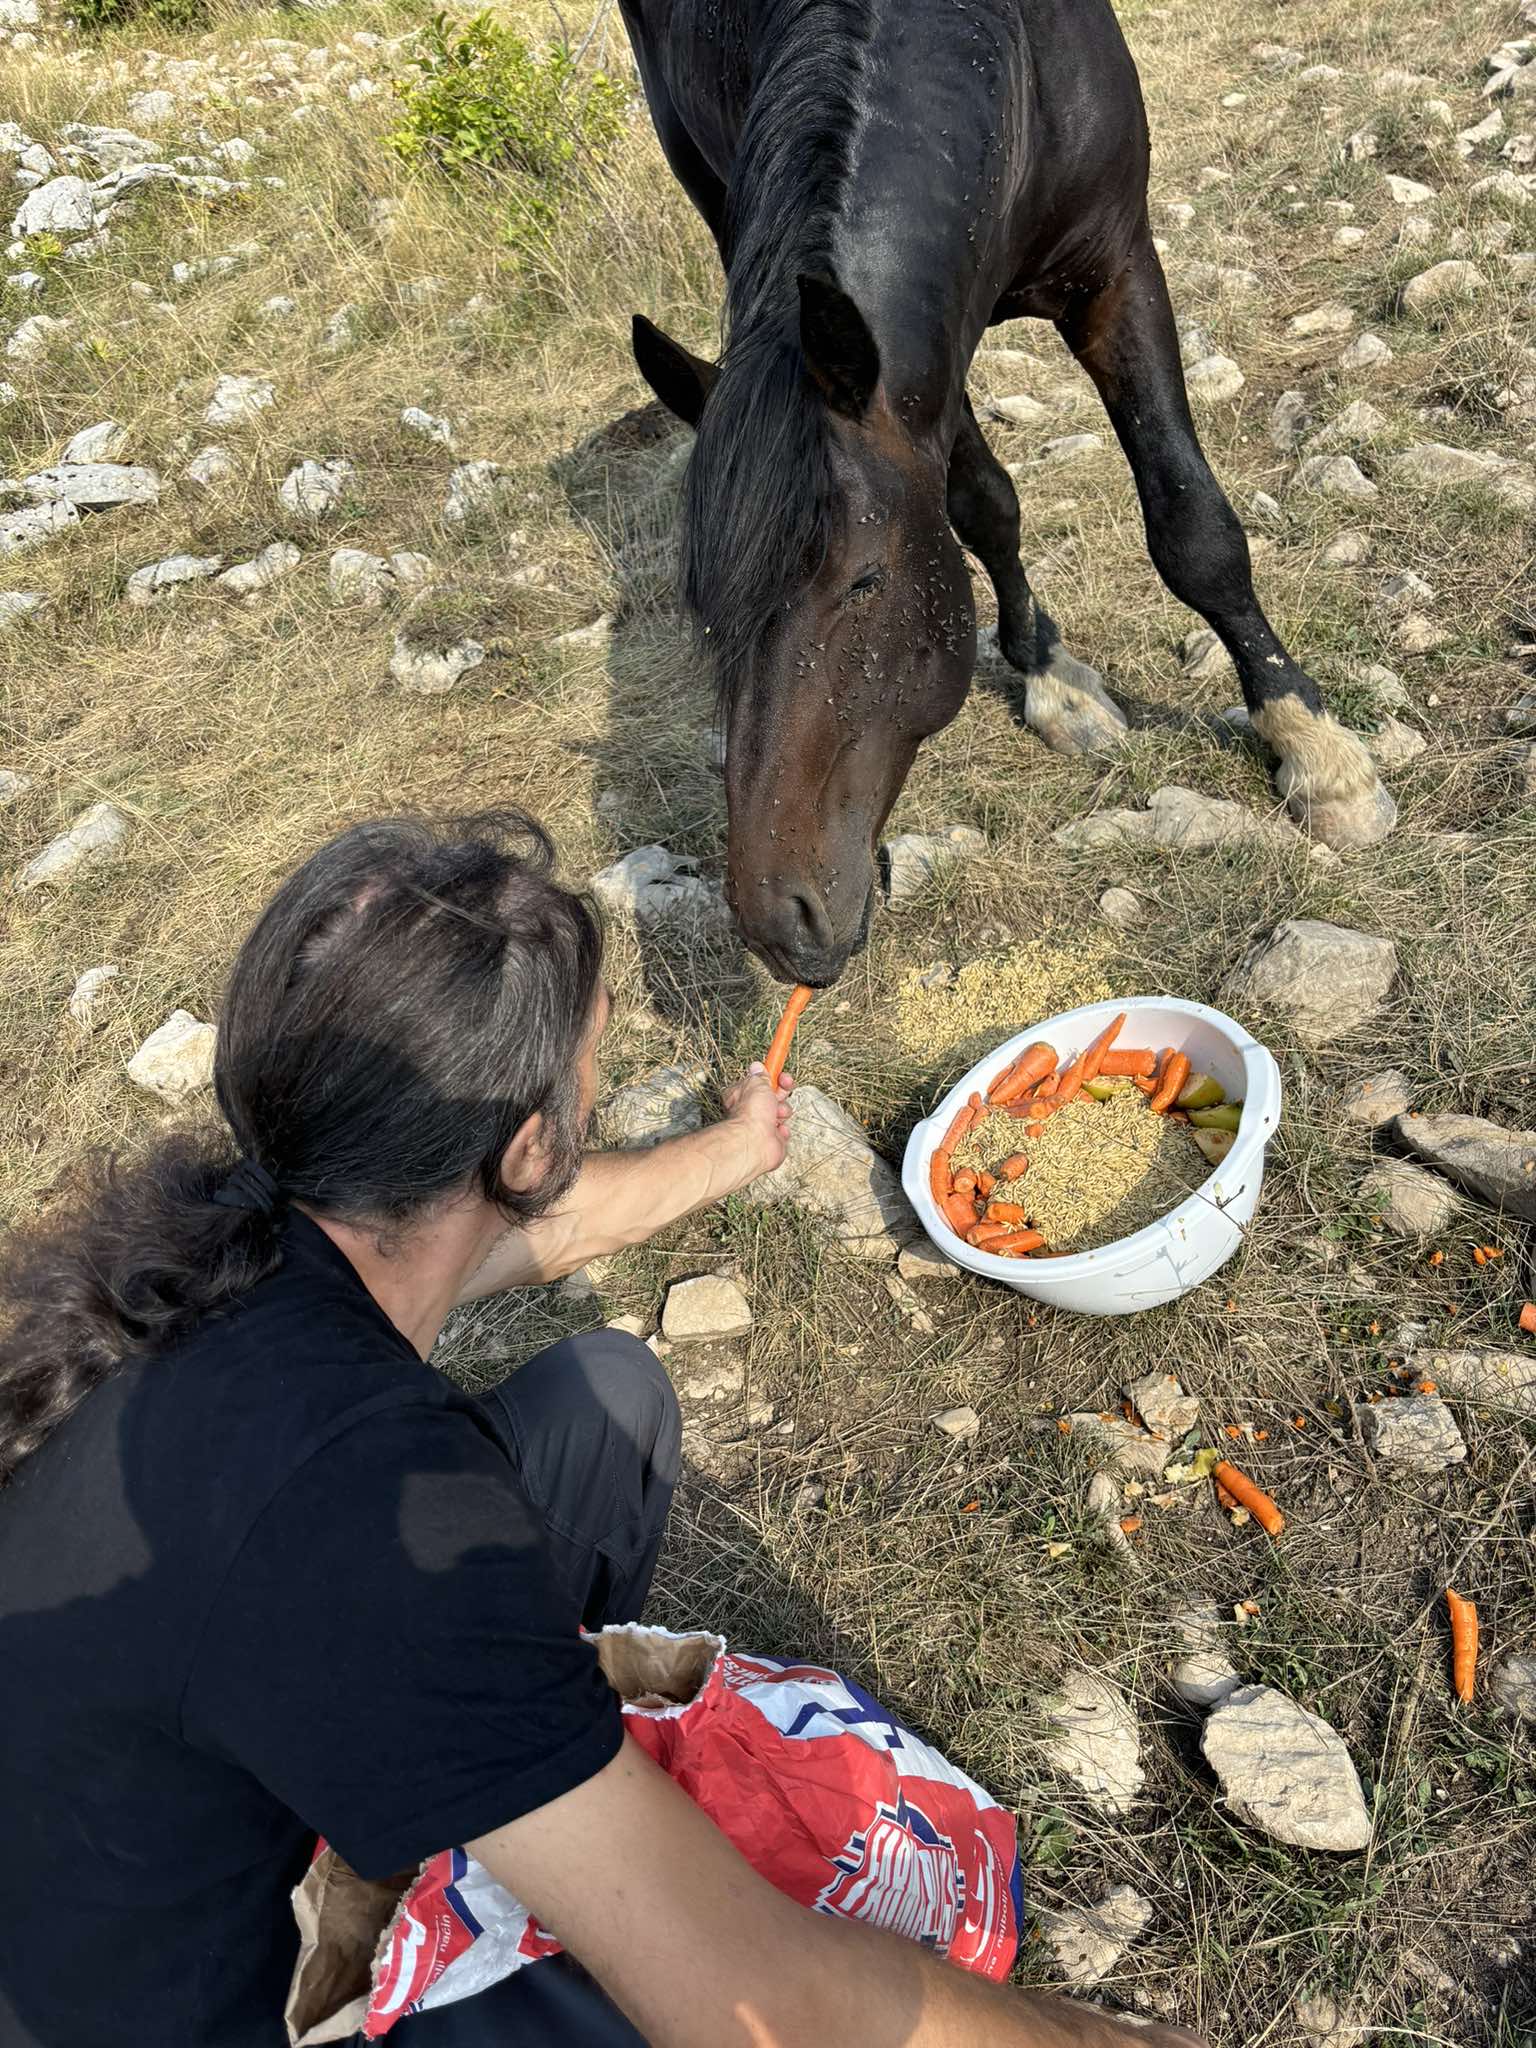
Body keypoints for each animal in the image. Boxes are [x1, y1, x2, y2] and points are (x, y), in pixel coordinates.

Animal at [614, 0, 1392, 991]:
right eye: (705, 609)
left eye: (865, 583)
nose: (776, 925)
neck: (988, 51)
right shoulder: (924, 369)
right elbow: (983, 504)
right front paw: (1048, 673)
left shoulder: (1116, 270)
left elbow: (1194, 529)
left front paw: (1314, 749)